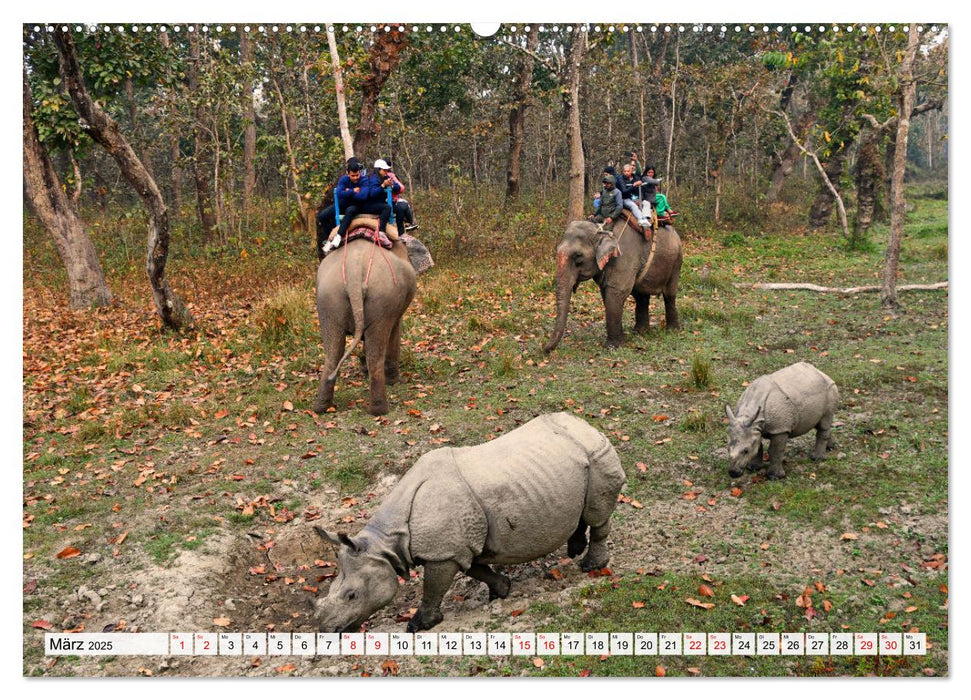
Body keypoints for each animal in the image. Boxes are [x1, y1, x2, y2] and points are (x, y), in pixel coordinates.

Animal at [314, 239, 416, 416]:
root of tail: (354, 270)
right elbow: (395, 330)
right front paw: (394, 382)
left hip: (328, 300)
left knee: (332, 354)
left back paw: (321, 407)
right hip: (382, 299)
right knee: (376, 355)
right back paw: (379, 410)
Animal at [316, 412, 628, 632]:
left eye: (352, 596)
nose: (328, 630)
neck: (386, 541)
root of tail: (588, 425)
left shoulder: (444, 552)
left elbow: (433, 588)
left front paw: (419, 625)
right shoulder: (461, 545)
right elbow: (477, 570)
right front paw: (501, 590)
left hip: (597, 455)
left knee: (598, 514)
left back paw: (591, 566)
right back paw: (574, 549)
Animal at [548, 217, 684, 352]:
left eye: (578, 256)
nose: (545, 350)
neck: (603, 231)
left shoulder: (625, 257)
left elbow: (616, 292)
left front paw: (613, 347)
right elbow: (606, 294)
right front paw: (621, 340)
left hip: (676, 262)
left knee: (669, 294)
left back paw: (672, 330)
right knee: (641, 296)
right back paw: (640, 332)